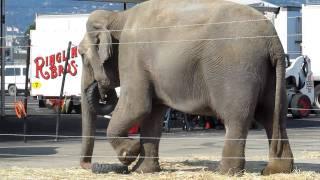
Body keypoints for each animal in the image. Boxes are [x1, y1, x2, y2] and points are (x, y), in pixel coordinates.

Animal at [79, 0, 294, 175]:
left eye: (81, 54)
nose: (91, 166)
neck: (118, 16)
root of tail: (273, 40)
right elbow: (152, 115)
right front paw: (143, 171)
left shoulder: (132, 55)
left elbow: (138, 107)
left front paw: (129, 153)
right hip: (270, 74)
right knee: (273, 115)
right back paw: (276, 170)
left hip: (238, 71)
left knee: (237, 118)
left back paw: (226, 172)